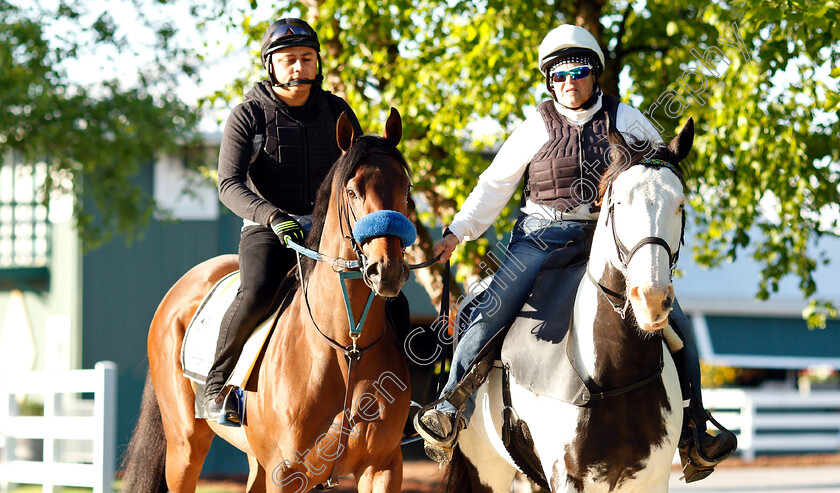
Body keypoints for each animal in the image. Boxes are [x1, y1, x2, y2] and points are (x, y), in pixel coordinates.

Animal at [120, 108, 414, 492]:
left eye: (406, 190)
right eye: (352, 191)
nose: (387, 270)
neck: (347, 346)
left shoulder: (382, 467)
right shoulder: (287, 471)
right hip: (185, 446)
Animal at [442, 120, 692, 492]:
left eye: (680, 204)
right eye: (619, 201)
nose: (650, 298)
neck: (611, 375)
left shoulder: (653, 479)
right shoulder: (566, 478)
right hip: (487, 470)